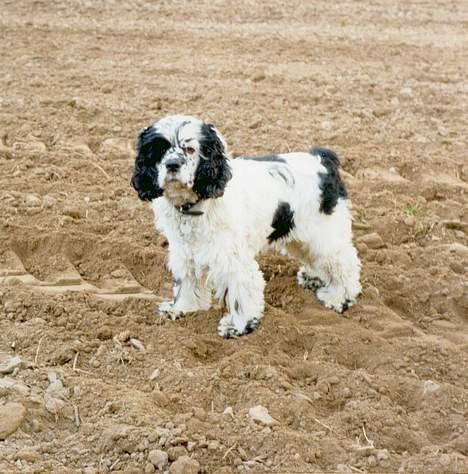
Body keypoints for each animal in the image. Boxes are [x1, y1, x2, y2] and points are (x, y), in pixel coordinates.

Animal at [132, 115, 362, 336]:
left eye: (190, 149)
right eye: (159, 151)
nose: (172, 165)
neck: (196, 205)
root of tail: (322, 159)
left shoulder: (232, 258)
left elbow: (239, 292)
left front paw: (239, 326)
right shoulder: (184, 252)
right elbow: (186, 282)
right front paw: (182, 308)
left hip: (323, 233)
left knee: (344, 263)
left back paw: (340, 298)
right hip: (299, 232)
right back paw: (313, 277)